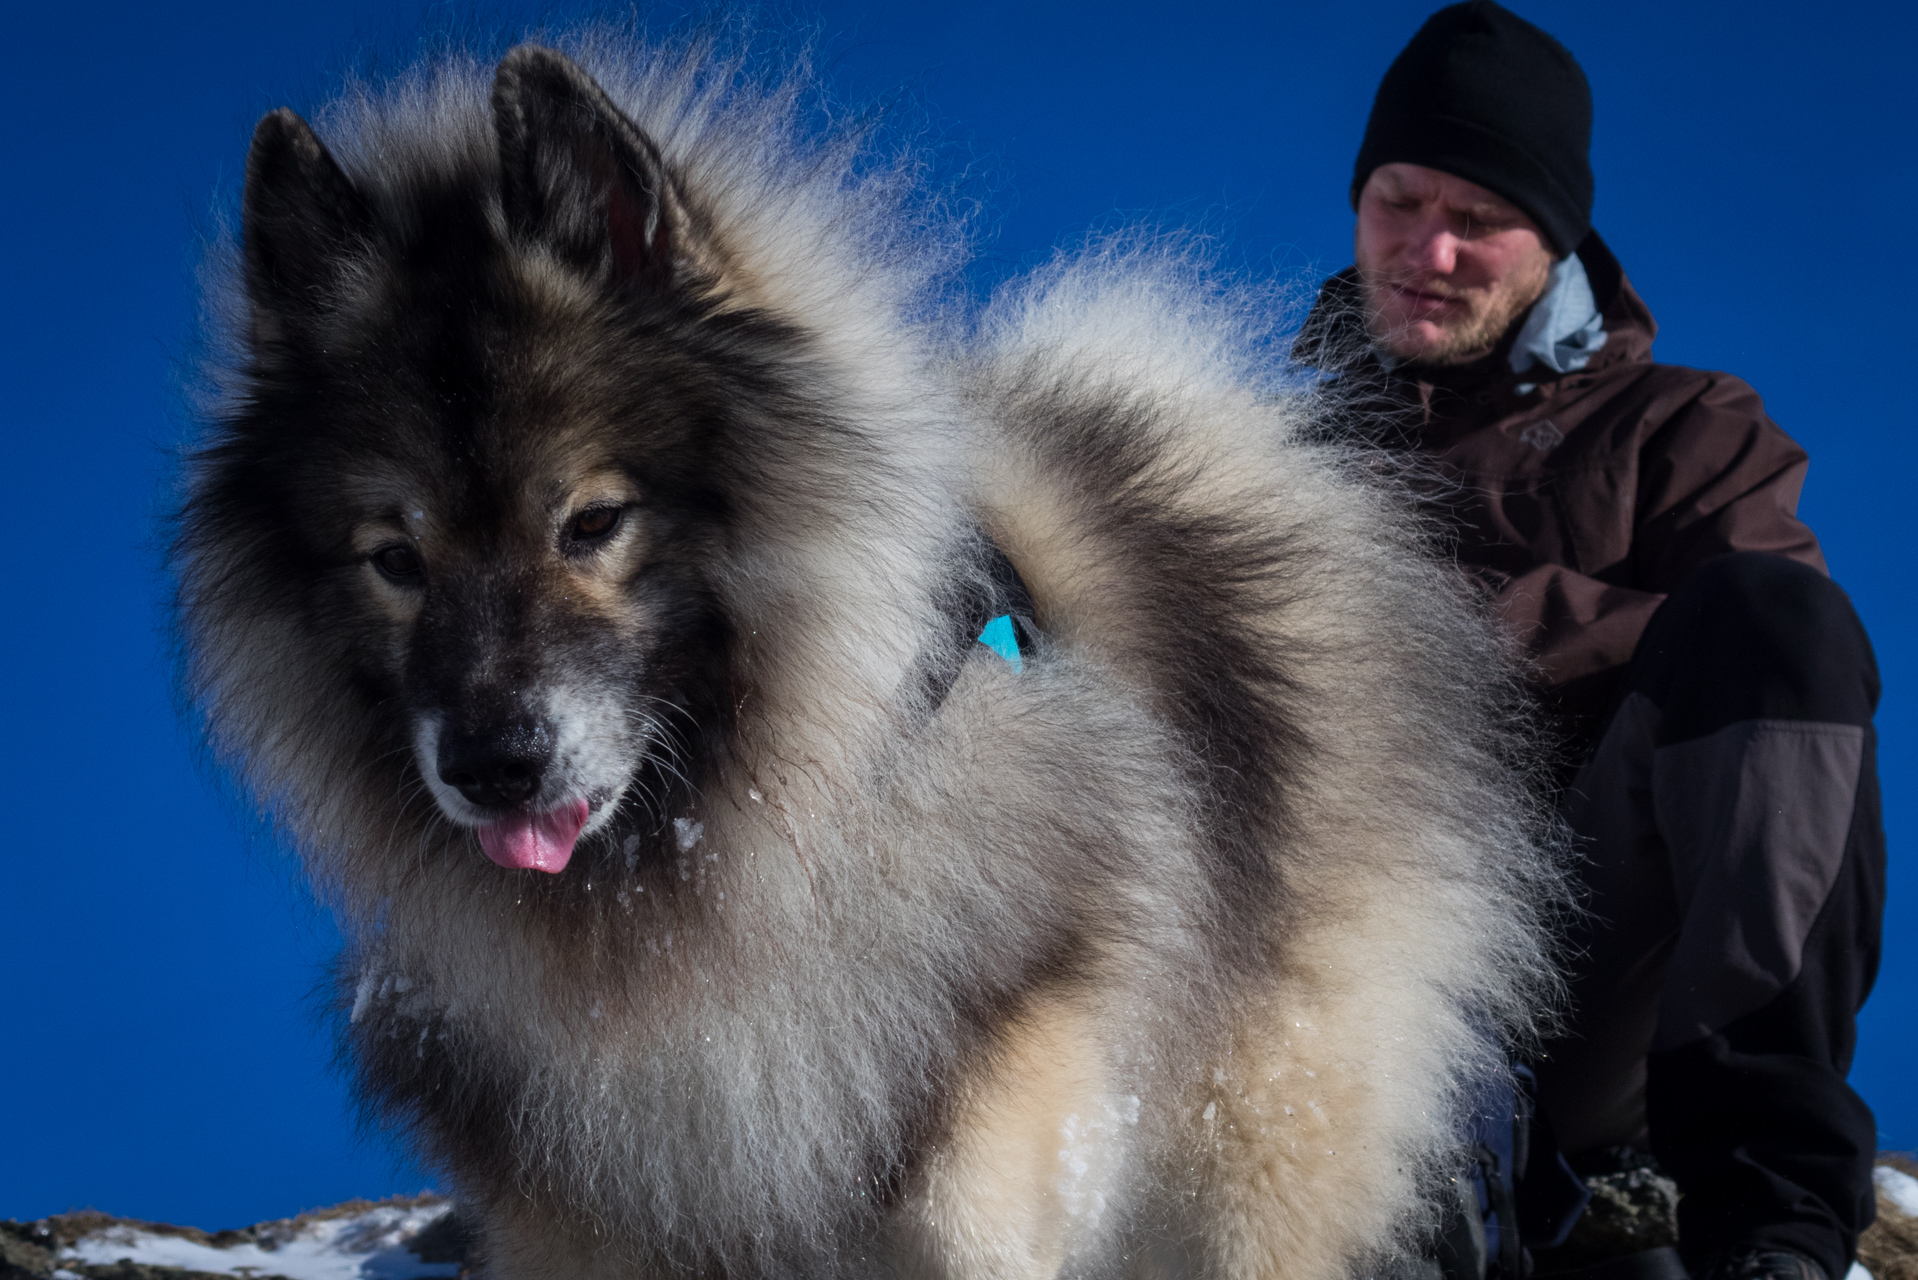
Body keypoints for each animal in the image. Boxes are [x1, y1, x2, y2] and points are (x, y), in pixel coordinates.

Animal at [172, 35, 1565, 1274]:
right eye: (392, 558)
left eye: (593, 520)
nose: (492, 763)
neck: (699, 874)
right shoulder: (587, 1201)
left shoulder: (1012, 1041)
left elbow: (964, 1206)